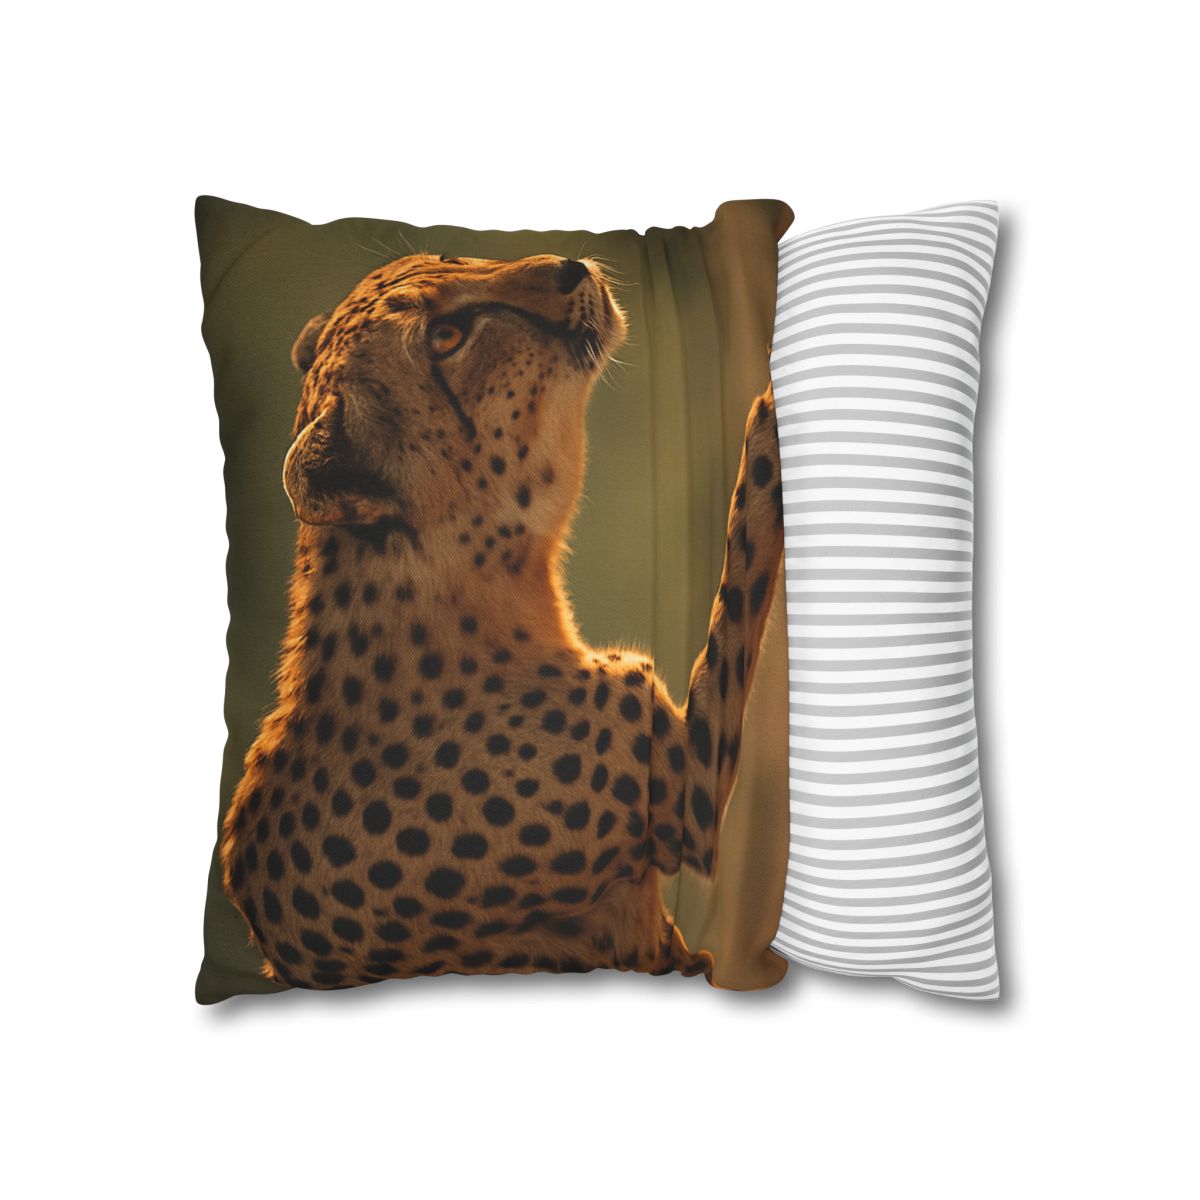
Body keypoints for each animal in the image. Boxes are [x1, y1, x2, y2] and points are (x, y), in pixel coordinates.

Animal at [220, 250, 784, 988]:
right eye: (445, 339)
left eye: (447, 257)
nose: (570, 267)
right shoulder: (685, 811)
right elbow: (744, 557)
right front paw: (775, 408)